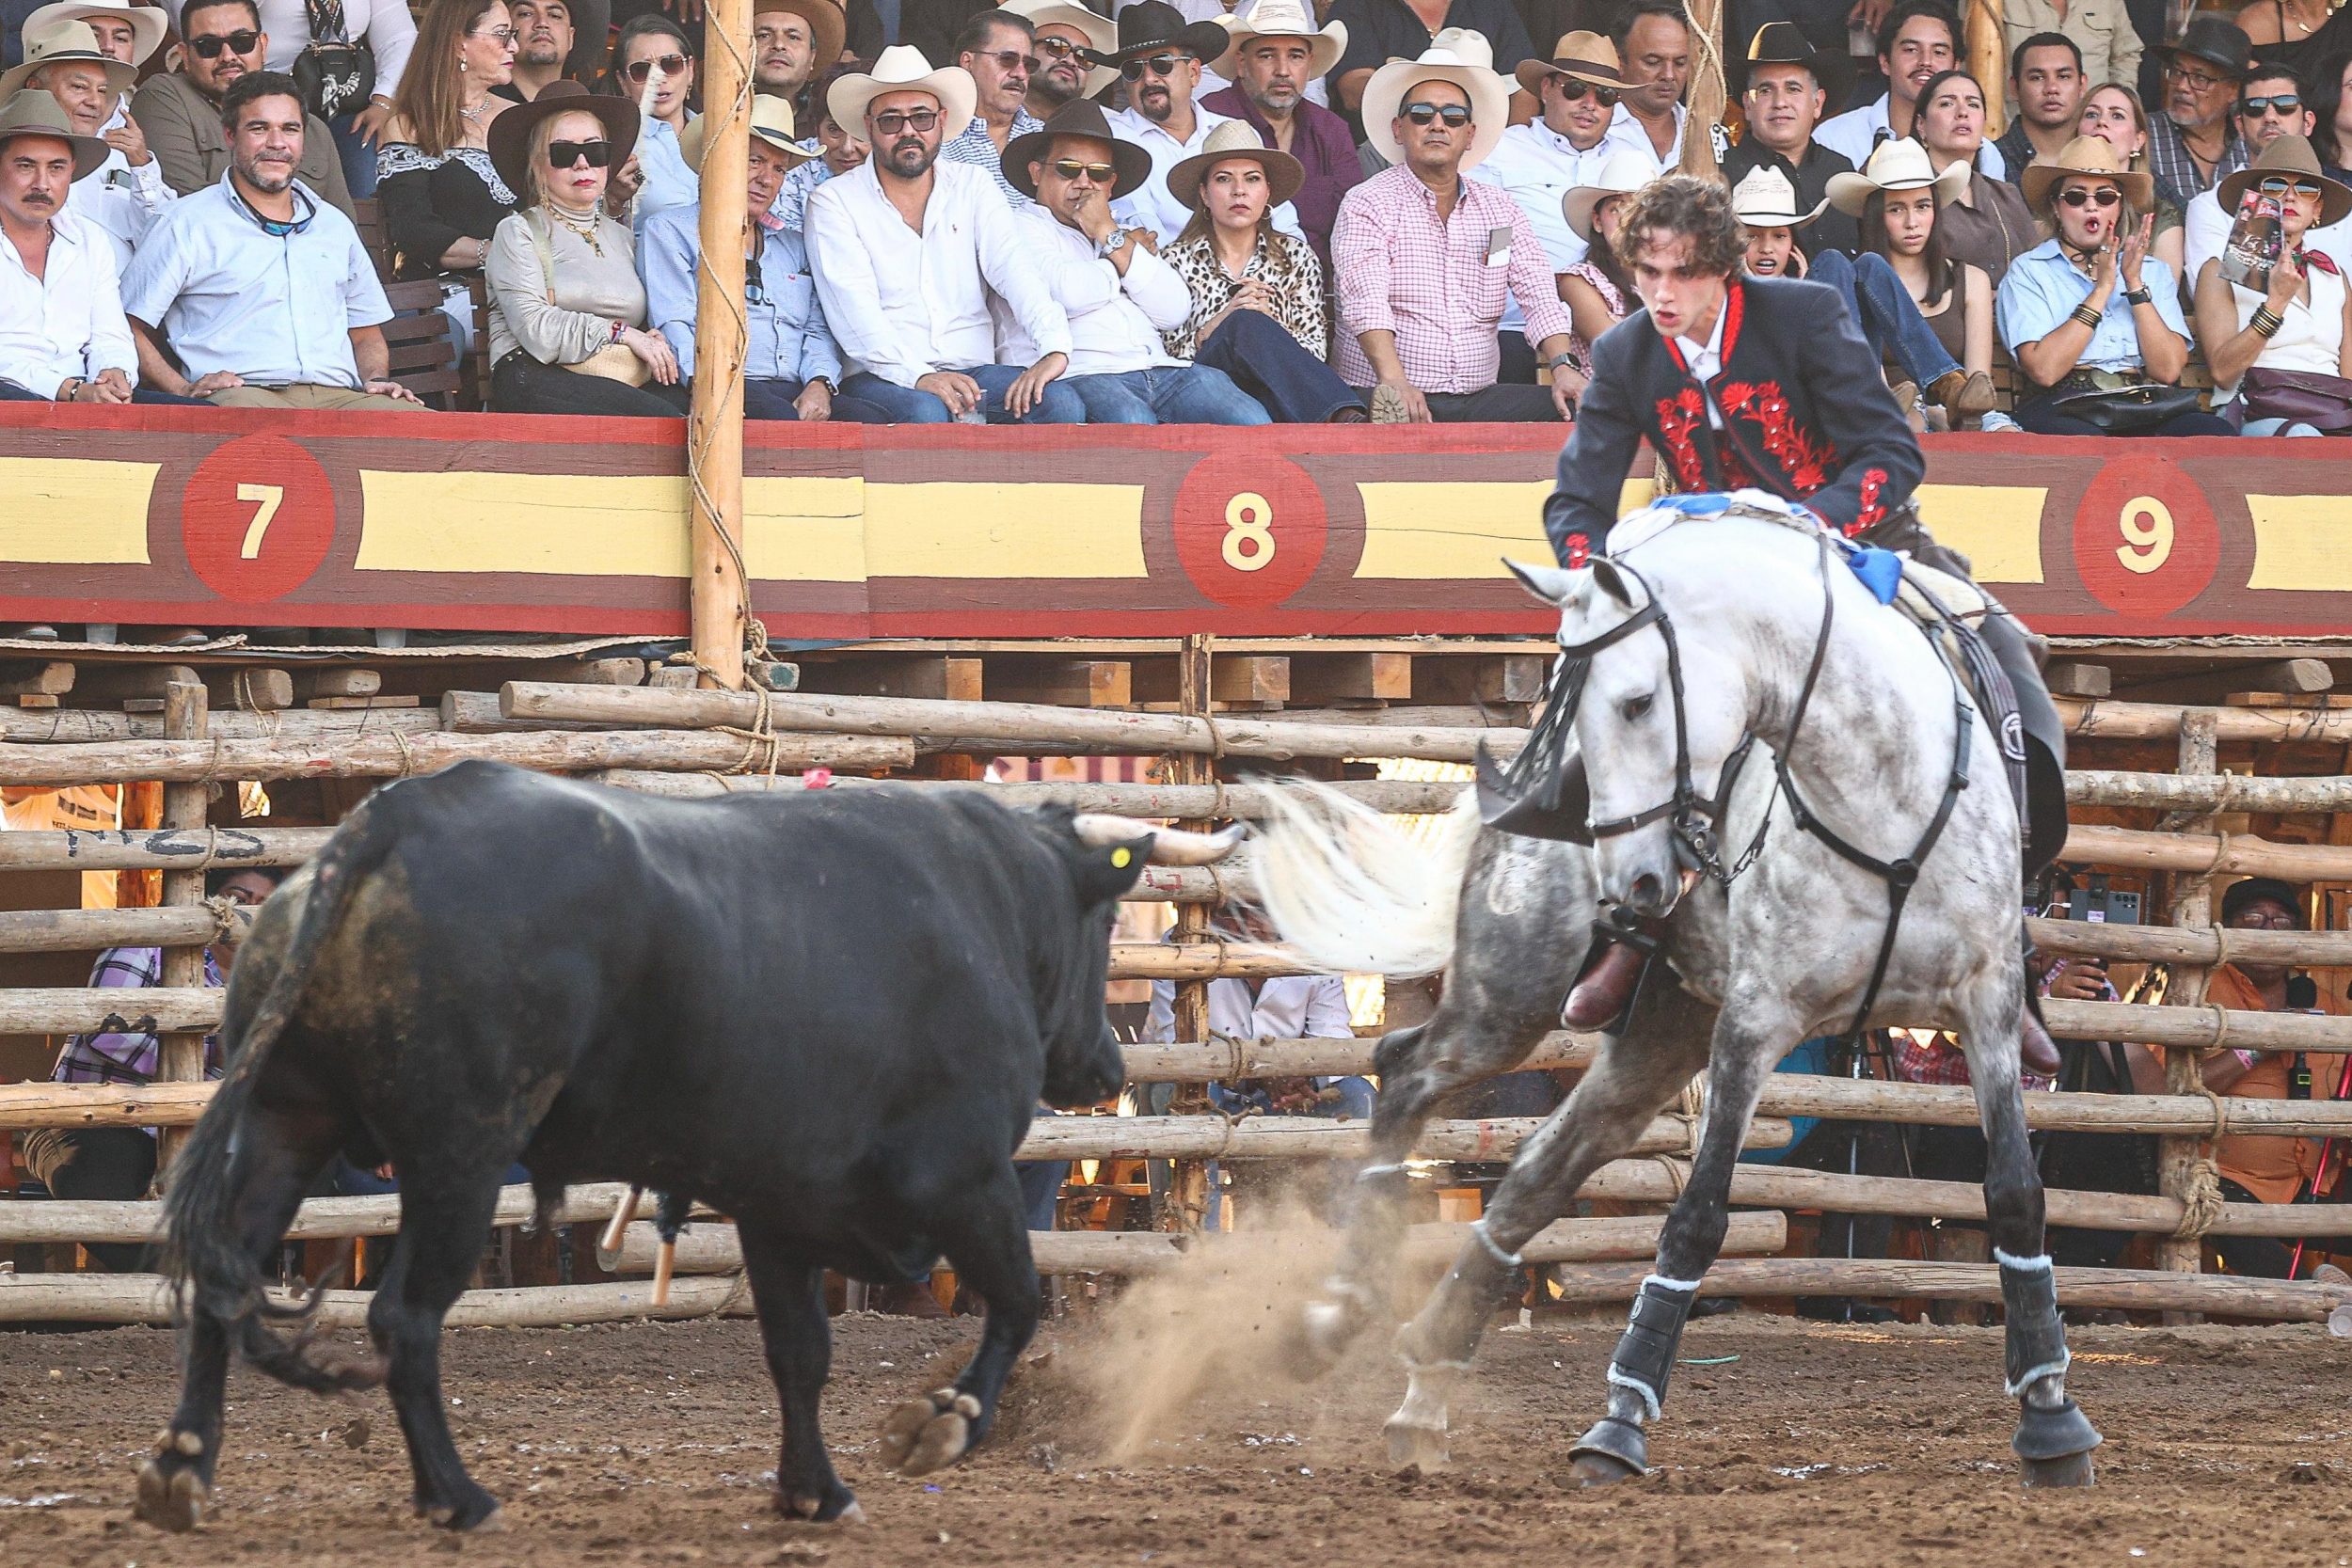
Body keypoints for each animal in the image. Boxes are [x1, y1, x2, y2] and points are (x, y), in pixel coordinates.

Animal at [134, 761, 1240, 1534]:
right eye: (1102, 914)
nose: (1105, 1062)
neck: (991, 897)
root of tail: (386, 823)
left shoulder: (781, 1203)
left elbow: (800, 1350)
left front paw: (813, 1488)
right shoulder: (966, 1177)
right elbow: (1016, 1299)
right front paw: (945, 1419)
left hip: (286, 1121)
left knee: (226, 1280)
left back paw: (184, 1464)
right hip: (459, 1156)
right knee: (403, 1316)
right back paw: (458, 1495)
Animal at [1252, 498, 2102, 1489]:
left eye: (1637, 700)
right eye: (1574, 706)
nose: (1631, 883)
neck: (1875, 795)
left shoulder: (1988, 1004)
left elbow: (2015, 1192)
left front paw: (2050, 1414)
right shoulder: (1755, 1021)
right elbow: (1696, 1218)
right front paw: (1619, 1422)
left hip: (1660, 1030)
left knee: (1534, 1175)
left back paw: (1427, 1384)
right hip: (1516, 994)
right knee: (1407, 1072)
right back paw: (1339, 1310)